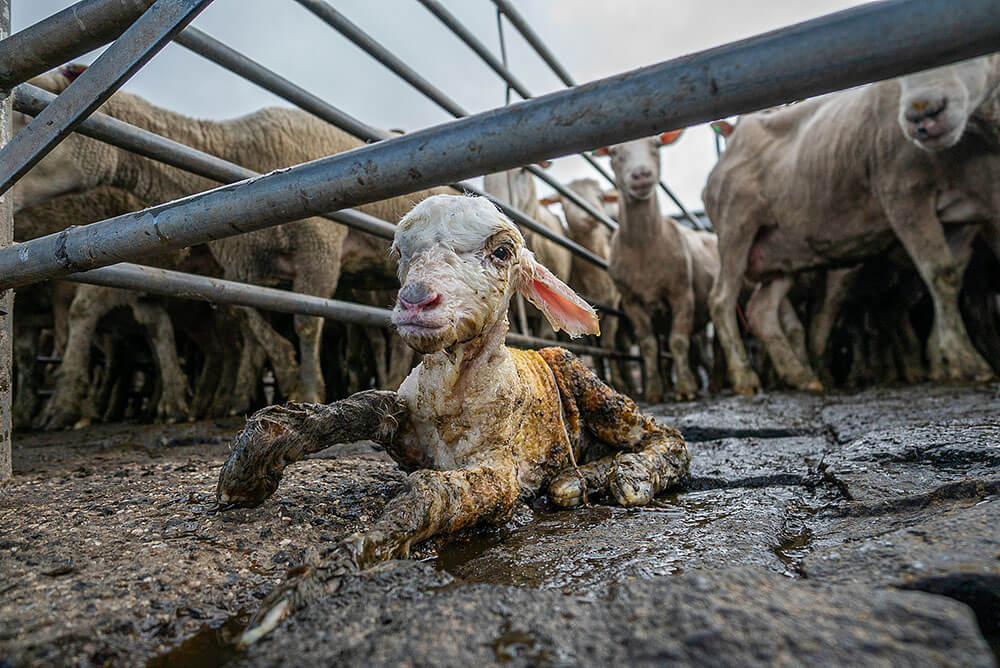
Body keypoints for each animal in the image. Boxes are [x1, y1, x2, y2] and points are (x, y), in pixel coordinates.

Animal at [14, 66, 454, 412]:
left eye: (29, 115)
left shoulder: (319, 248)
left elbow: (306, 322)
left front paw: (311, 387)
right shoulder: (244, 267)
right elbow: (253, 324)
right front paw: (284, 377)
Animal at [216, 196, 692, 644]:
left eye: (502, 251)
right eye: (400, 252)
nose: (414, 300)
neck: (452, 394)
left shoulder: (500, 473)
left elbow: (432, 491)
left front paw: (321, 576)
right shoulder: (406, 425)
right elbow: (365, 406)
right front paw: (252, 461)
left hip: (580, 376)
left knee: (663, 435)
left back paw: (629, 474)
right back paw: (577, 478)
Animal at [596, 133, 724, 400]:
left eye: (656, 145)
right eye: (614, 152)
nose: (641, 174)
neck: (646, 246)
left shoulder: (682, 294)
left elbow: (678, 341)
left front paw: (685, 389)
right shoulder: (632, 301)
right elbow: (649, 346)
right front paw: (654, 390)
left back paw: (714, 381)